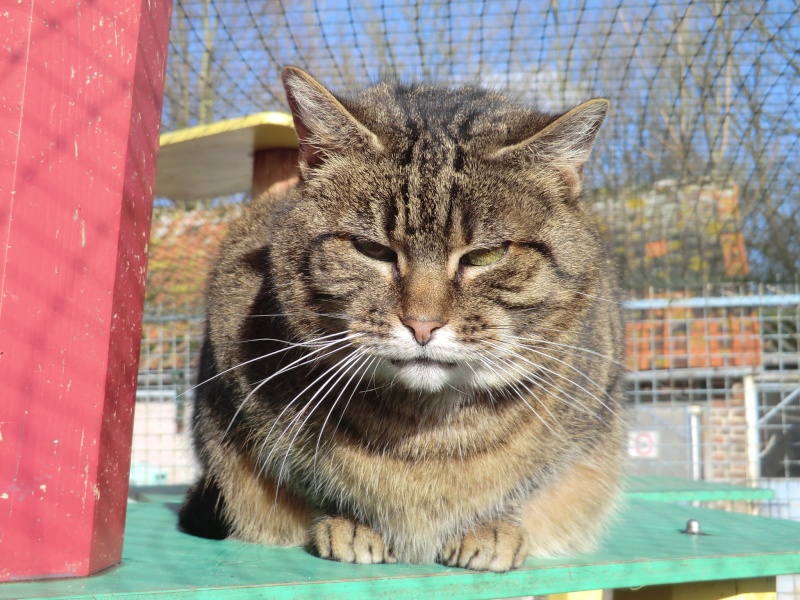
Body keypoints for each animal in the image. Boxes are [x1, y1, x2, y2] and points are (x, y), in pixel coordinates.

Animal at [181, 65, 624, 572]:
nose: (422, 325)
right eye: (371, 250)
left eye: (485, 256)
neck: (425, 435)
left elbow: (527, 484)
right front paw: (350, 523)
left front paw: (494, 528)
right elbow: (313, 482)